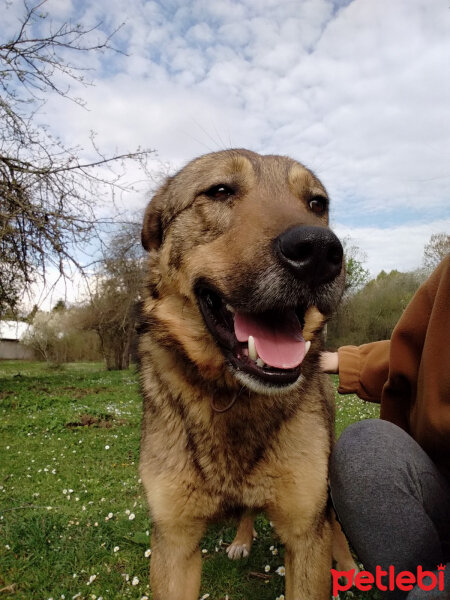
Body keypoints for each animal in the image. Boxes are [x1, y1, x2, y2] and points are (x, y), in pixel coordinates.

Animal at [137, 148, 356, 596]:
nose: (319, 251)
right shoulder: (174, 542)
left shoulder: (306, 534)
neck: (231, 393)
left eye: (317, 203)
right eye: (220, 191)